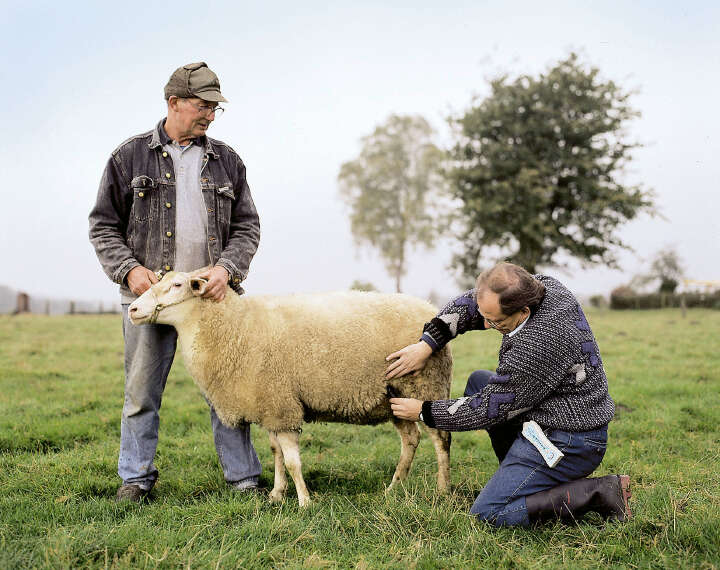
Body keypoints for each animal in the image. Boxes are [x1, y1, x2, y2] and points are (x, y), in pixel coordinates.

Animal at [128, 269, 452, 506]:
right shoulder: (272, 405)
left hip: (425, 385)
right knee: (410, 440)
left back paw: (442, 489)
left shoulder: (283, 408)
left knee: (441, 439)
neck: (234, 327)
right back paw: (394, 488)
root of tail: (427, 308)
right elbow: (276, 454)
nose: (132, 309)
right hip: (396, 397)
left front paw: (304, 501)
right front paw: (276, 493)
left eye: (177, 285)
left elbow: (293, 461)